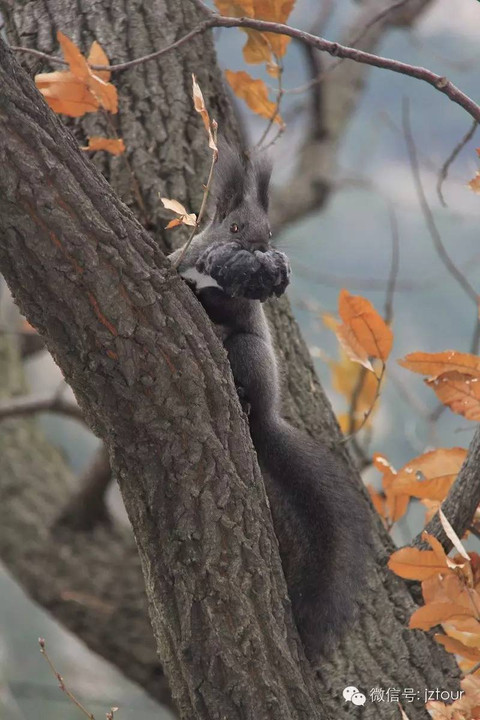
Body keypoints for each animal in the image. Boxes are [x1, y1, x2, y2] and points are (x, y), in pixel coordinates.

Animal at [169, 138, 372, 660]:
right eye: (235, 227)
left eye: (271, 231)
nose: (260, 250)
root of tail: (264, 420)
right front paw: (190, 282)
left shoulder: (241, 306)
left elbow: (229, 306)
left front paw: (208, 291)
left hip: (248, 353)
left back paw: (242, 397)